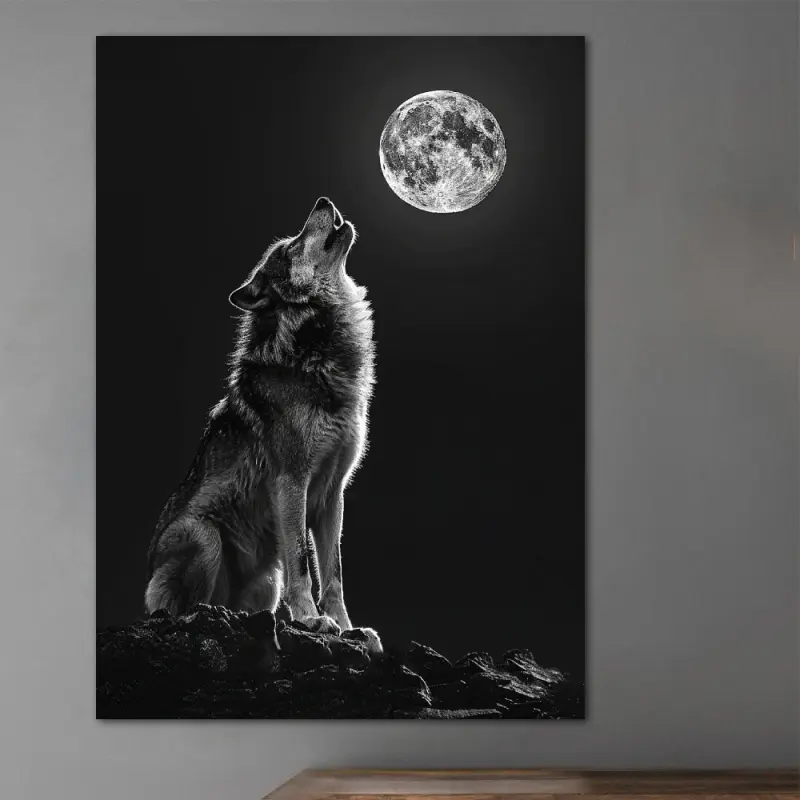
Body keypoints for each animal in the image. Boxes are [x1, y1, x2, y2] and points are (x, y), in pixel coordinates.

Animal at [144, 197, 380, 652]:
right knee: (179, 612)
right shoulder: (291, 482)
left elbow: (334, 575)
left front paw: (349, 629)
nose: (323, 201)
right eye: (289, 250)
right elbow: (303, 564)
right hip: (204, 536)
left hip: (267, 580)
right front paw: (311, 619)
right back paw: (205, 617)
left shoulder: (333, 494)